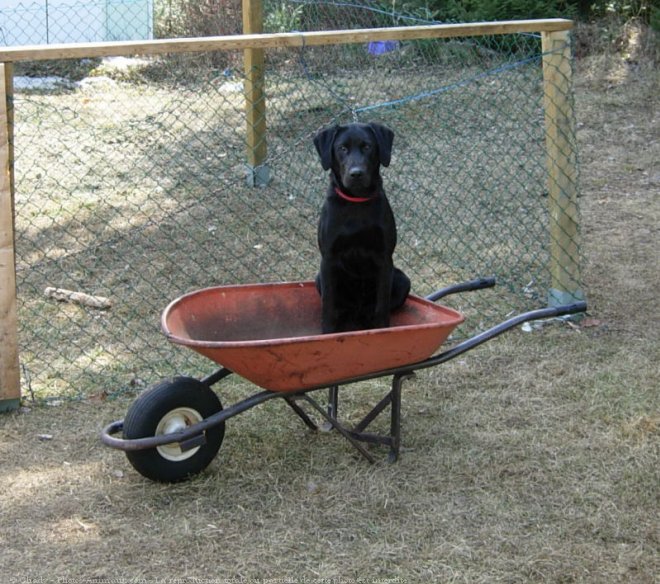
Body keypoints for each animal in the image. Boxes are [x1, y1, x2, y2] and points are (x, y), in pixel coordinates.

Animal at [314, 123, 408, 334]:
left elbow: (381, 307)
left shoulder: (384, 259)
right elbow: (328, 308)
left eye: (367, 146)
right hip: (319, 279)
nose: (356, 174)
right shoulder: (328, 259)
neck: (356, 201)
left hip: (402, 279)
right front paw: (327, 335)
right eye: (342, 148)